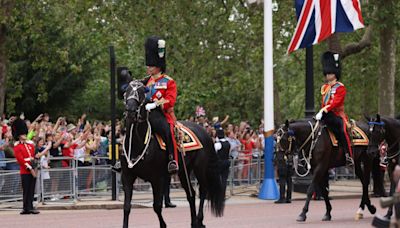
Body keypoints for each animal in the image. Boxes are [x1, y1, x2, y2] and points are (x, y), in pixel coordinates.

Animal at [120, 80, 225, 228]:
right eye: (126, 92)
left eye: (141, 93)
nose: (130, 111)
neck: (137, 144)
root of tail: (204, 131)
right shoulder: (127, 176)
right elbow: (126, 207)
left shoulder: (157, 178)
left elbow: (157, 206)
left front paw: (163, 225)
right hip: (183, 171)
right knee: (191, 194)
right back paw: (194, 222)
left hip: (200, 168)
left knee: (203, 190)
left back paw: (199, 220)